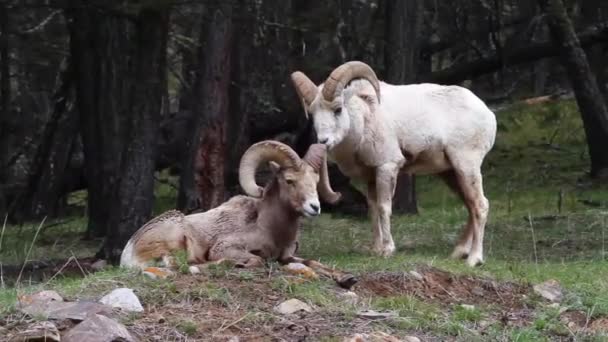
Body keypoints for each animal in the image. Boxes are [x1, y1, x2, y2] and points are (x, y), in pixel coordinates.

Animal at [119, 140, 356, 288]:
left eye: (315, 181)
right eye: (290, 180)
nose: (315, 207)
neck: (269, 229)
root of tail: (128, 252)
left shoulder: (287, 256)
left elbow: (313, 263)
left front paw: (347, 278)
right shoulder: (226, 248)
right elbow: (258, 260)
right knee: (183, 265)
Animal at [288, 60, 494, 266]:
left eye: (338, 109)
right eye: (313, 114)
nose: (324, 141)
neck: (364, 120)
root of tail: (488, 114)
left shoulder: (387, 168)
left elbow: (384, 208)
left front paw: (387, 250)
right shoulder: (370, 177)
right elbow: (373, 209)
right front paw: (376, 249)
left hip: (466, 166)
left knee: (480, 205)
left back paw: (474, 259)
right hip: (451, 173)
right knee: (470, 205)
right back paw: (458, 253)